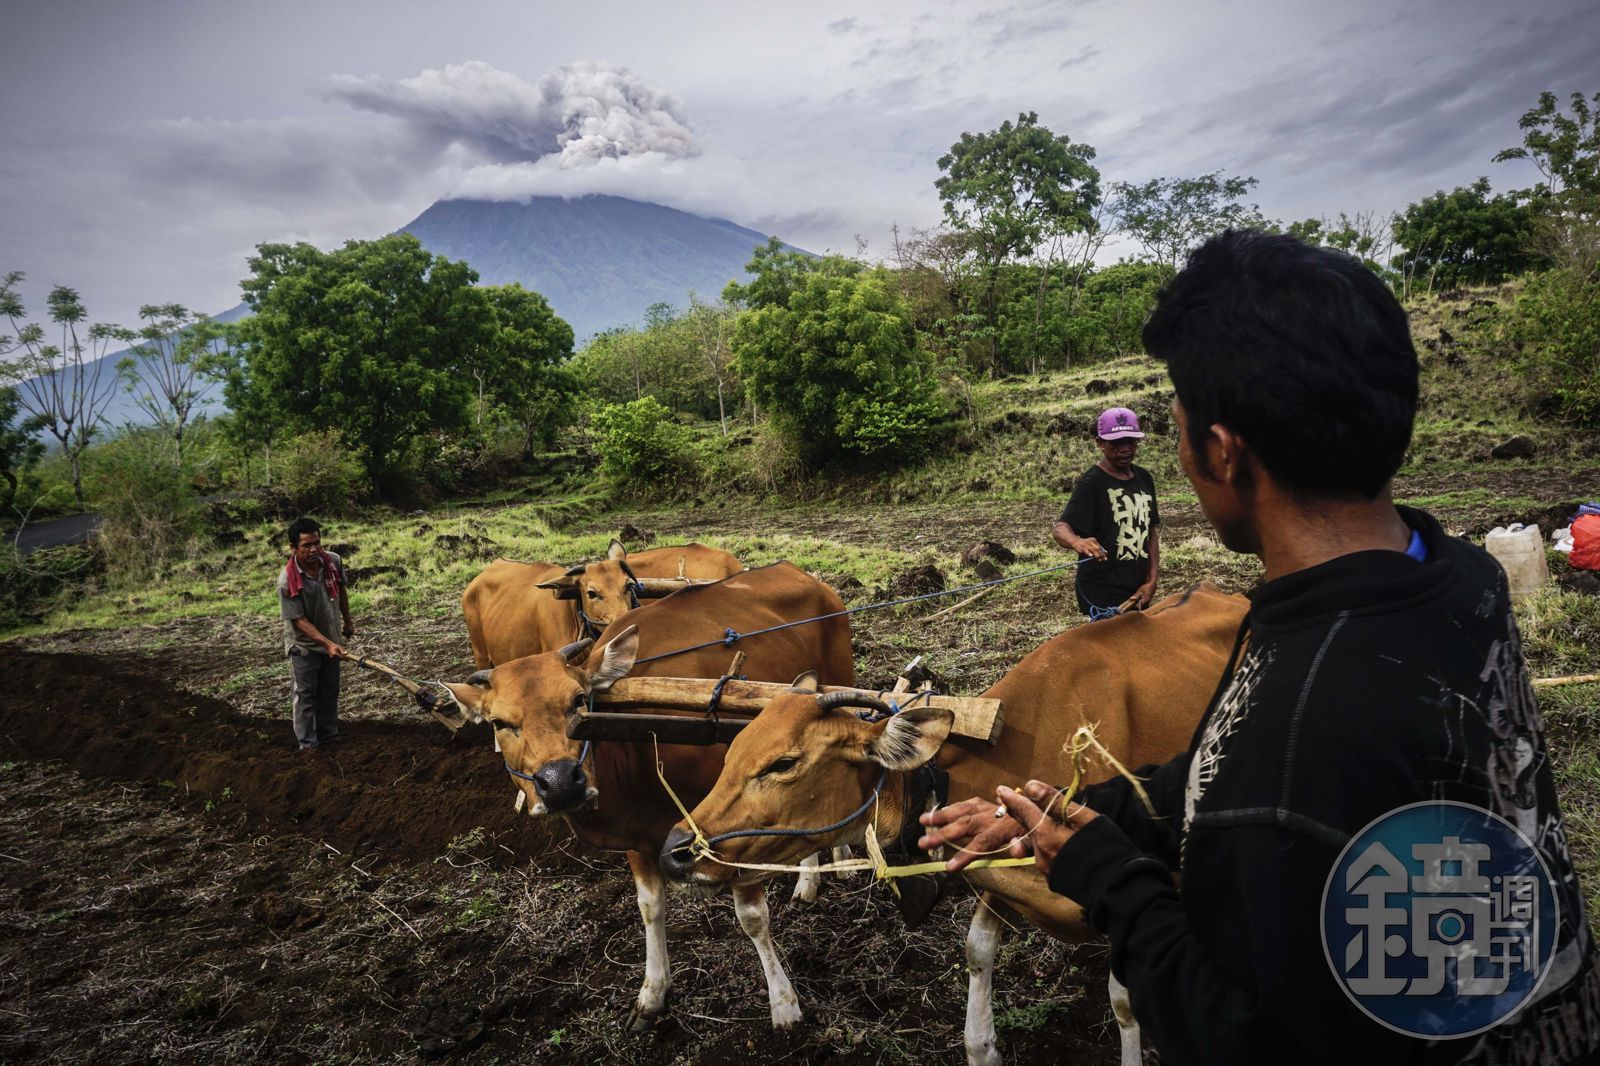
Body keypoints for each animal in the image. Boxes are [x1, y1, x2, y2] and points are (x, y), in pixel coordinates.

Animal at [442, 562, 855, 1033]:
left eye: (579, 700)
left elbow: (751, 917)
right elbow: (650, 908)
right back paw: (808, 878)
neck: (642, 738)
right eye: (498, 722)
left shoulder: (736, 821)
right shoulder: (637, 836)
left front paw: (783, 1003)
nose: (561, 782)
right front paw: (653, 994)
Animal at [657, 582, 1247, 1066]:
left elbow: (1127, 1003)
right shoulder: (996, 872)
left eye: (783, 763)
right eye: (733, 747)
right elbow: (976, 952)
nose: (676, 848)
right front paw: (981, 1045)